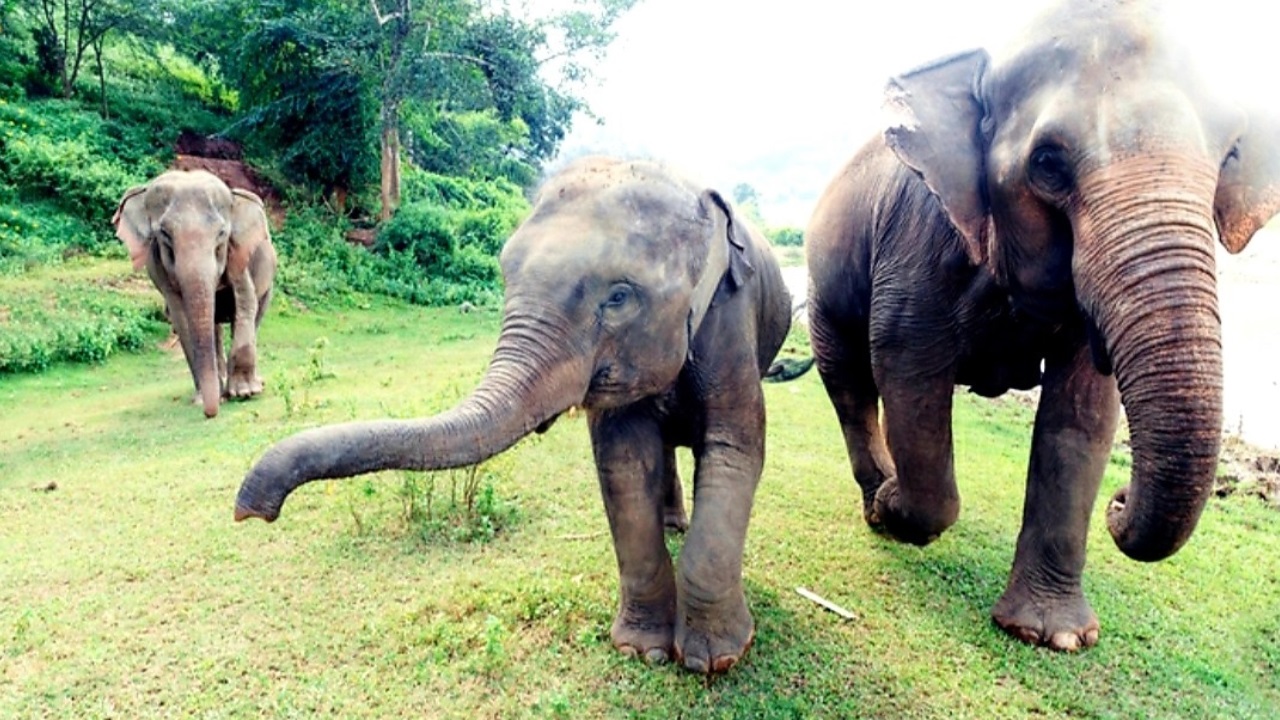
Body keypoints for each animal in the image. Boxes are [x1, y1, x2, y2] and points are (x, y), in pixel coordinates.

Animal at [114, 169, 277, 418]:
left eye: (221, 234)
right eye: (164, 234)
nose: (210, 413)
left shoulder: (238, 254)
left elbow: (245, 302)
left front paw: (245, 393)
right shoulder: (159, 267)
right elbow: (181, 316)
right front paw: (204, 399)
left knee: (254, 314)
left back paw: (251, 384)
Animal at [234, 157, 794, 674]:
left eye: (618, 296)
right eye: (506, 275)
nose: (251, 512)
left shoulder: (731, 321)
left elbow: (735, 451)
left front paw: (713, 661)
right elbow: (624, 464)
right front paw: (642, 651)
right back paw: (673, 524)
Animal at [806, 0, 1280, 651]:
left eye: (1230, 155)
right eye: (1049, 164)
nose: (1119, 503)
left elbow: (1082, 412)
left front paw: (1050, 636)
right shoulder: (920, 237)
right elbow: (907, 364)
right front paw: (895, 502)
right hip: (821, 284)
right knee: (849, 378)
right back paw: (876, 501)